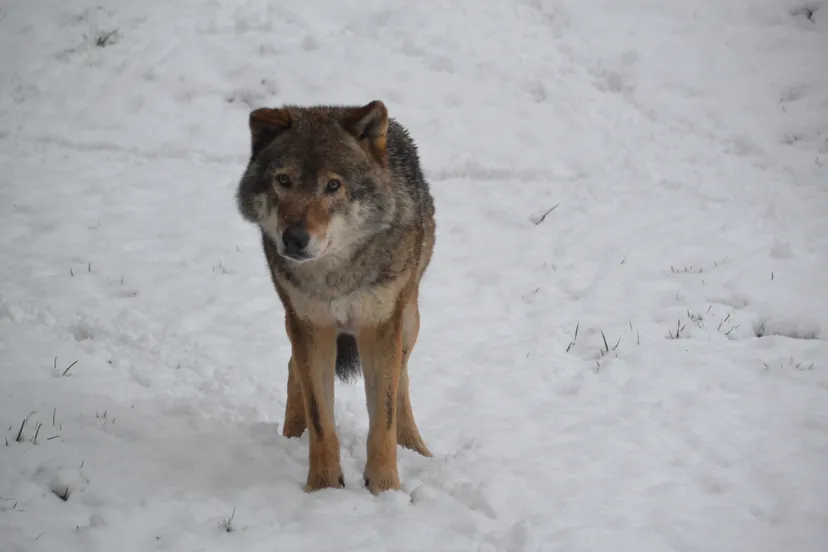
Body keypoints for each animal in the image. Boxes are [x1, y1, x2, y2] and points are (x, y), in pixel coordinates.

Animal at [235, 100, 435, 494]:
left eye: (333, 185)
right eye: (283, 180)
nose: (294, 239)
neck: (336, 276)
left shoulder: (380, 326)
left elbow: (383, 419)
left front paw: (385, 489)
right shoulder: (312, 326)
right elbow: (321, 420)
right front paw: (323, 489)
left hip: (408, 321)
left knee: (402, 380)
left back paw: (416, 448)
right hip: (294, 322)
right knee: (293, 369)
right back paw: (291, 436)